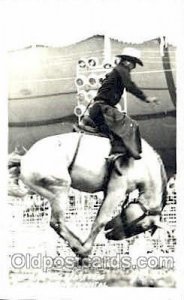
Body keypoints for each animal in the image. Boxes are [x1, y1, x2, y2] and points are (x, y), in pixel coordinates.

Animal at [9, 132, 168, 258]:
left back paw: (78, 243)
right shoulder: (116, 190)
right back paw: (79, 248)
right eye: (142, 226)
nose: (111, 236)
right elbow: (100, 221)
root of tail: (24, 160)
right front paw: (87, 248)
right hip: (60, 187)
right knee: (57, 222)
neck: (142, 164)